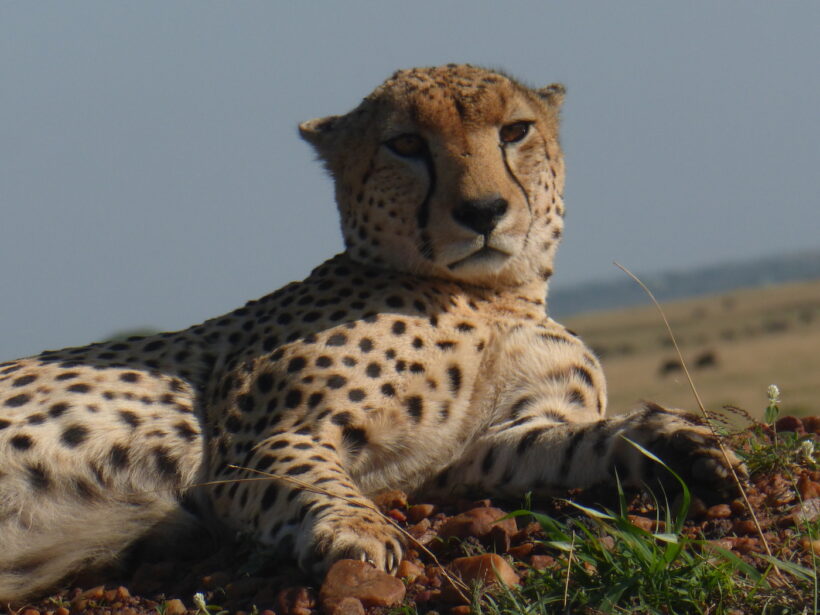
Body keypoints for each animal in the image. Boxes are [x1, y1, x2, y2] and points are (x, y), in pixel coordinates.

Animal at [0, 65, 744, 604]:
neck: (490, 296)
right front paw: (354, 530)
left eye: (515, 131)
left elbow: (579, 443)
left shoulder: (482, 451)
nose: (483, 211)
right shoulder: (254, 445)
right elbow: (307, 474)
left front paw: (676, 441)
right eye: (406, 144)